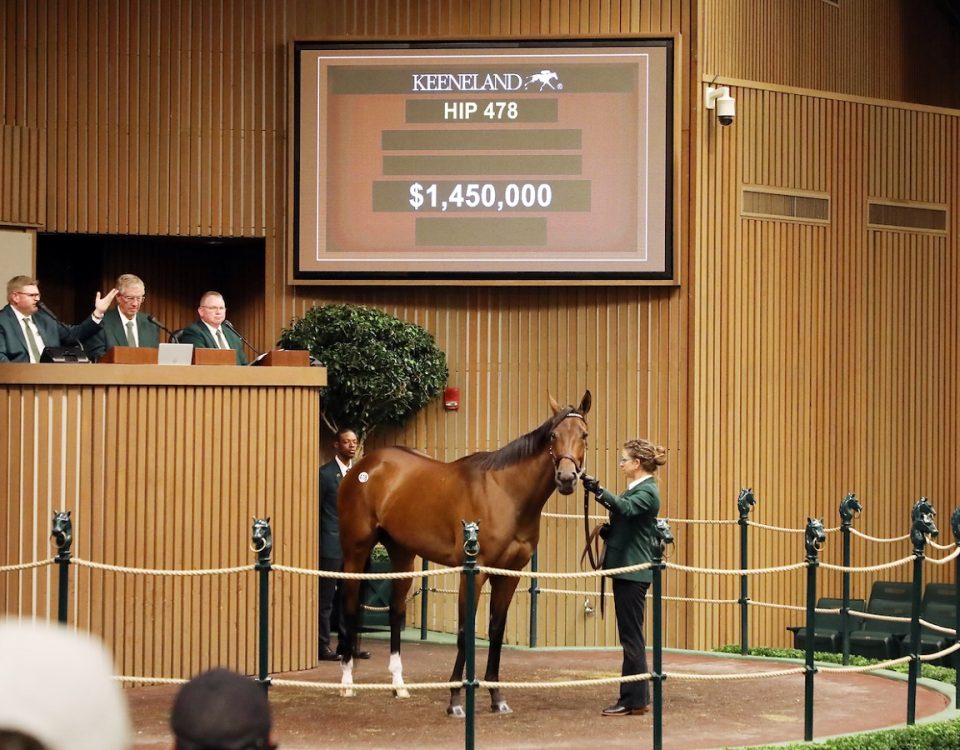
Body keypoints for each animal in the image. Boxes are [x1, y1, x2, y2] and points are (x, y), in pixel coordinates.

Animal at [338, 394, 592, 716]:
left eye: (584, 435)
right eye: (553, 436)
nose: (567, 478)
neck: (506, 493)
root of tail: (364, 466)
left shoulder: (509, 575)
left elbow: (496, 631)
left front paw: (497, 697)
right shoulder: (474, 571)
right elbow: (464, 631)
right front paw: (455, 699)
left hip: (402, 555)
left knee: (396, 610)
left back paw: (399, 685)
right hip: (355, 552)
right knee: (348, 607)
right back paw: (347, 683)